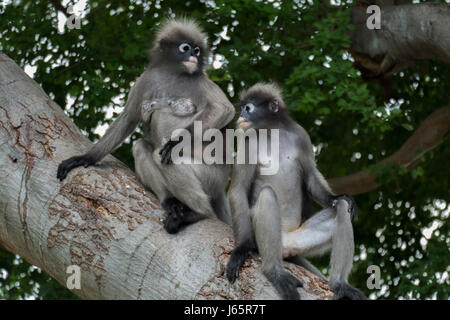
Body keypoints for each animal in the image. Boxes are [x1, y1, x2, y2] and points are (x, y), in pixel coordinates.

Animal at [56, 18, 236, 232]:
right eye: (185, 48)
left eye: (197, 50)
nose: (193, 55)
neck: (174, 74)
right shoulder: (147, 78)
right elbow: (129, 117)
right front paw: (86, 158)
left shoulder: (200, 81)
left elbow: (224, 110)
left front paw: (175, 142)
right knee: (142, 146)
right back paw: (170, 202)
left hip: (212, 177)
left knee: (165, 155)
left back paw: (199, 212)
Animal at [225, 83, 366, 300]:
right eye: (242, 108)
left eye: (248, 108)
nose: (240, 116)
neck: (274, 132)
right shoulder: (247, 140)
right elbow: (238, 190)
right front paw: (241, 249)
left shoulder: (301, 135)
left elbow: (310, 177)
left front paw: (338, 196)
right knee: (267, 194)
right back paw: (274, 272)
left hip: (298, 240)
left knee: (342, 208)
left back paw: (340, 284)